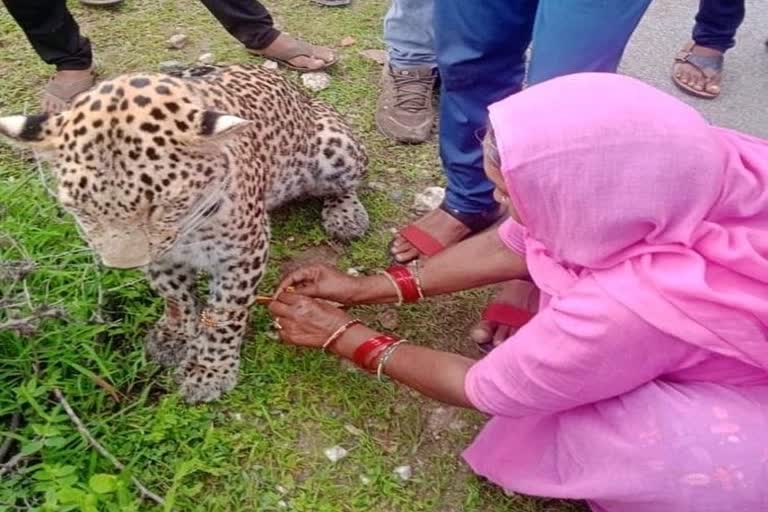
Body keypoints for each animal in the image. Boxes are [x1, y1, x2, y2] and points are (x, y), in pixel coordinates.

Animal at [0, 63, 368, 404]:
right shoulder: (163, 255)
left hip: (336, 148)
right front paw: (175, 335)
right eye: (83, 209)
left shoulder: (243, 253)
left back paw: (346, 215)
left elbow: (225, 314)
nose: (123, 266)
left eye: (161, 206)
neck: (189, 226)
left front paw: (209, 370)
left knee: (346, 185)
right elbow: (174, 295)